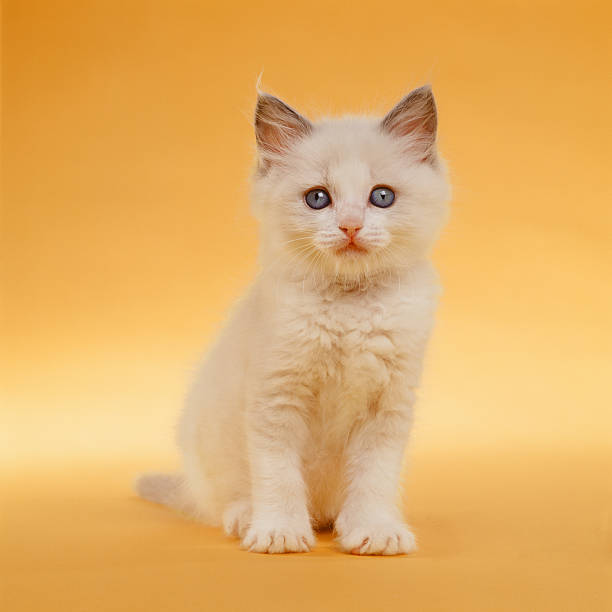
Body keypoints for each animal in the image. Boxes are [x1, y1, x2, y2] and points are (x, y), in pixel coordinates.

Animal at [136, 86, 450, 556]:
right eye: (318, 198)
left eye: (381, 197)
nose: (350, 226)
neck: (349, 304)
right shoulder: (275, 396)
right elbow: (278, 475)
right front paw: (279, 532)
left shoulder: (389, 405)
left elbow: (374, 477)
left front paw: (375, 529)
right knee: (223, 499)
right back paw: (245, 516)